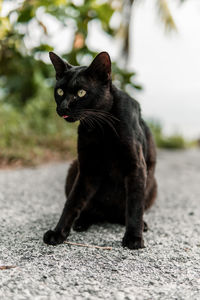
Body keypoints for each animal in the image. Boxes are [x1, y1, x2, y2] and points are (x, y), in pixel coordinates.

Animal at [43, 51, 157, 248]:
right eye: (60, 91)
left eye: (81, 93)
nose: (63, 107)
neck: (100, 128)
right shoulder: (88, 168)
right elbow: (72, 202)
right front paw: (58, 232)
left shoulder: (136, 166)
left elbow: (135, 204)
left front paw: (134, 238)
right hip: (74, 167)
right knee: (88, 209)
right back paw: (81, 222)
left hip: (152, 183)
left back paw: (141, 225)